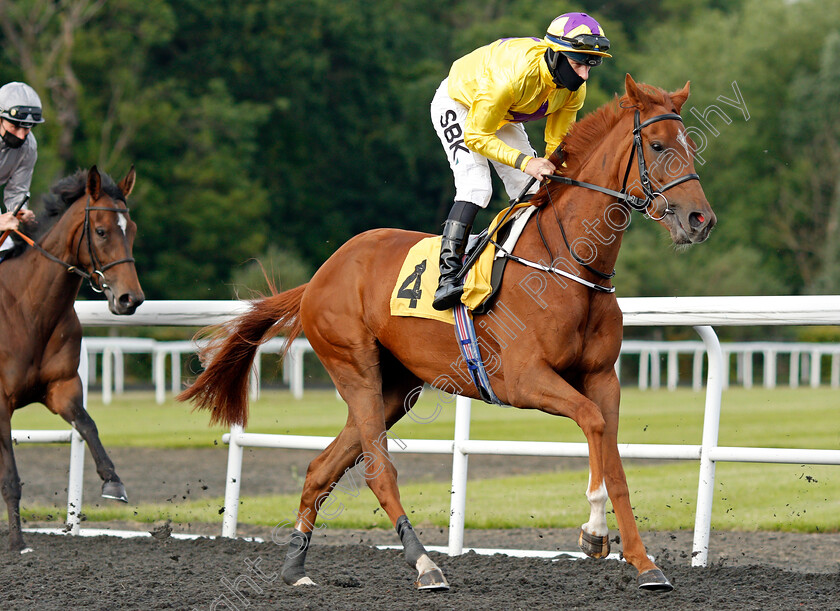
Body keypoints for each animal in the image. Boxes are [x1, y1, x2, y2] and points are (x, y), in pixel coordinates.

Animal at [0, 167, 143, 556]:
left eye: (132, 229)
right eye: (101, 231)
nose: (131, 299)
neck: (29, 310)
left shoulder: (61, 387)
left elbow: (87, 424)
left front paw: (113, 482)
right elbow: (10, 477)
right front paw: (18, 541)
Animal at [179, 75, 716, 592]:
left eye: (690, 144)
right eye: (659, 145)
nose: (701, 220)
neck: (570, 263)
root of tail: (318, 277)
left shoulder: (603, 376)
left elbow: (613, 454)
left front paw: (640, 561)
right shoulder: (523, 380)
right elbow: (593, 422)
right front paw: (597, 533)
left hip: (394, 388)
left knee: (321, 469)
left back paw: (296, 568)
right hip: (354, 367)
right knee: (378, 471)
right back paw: (425, 565)